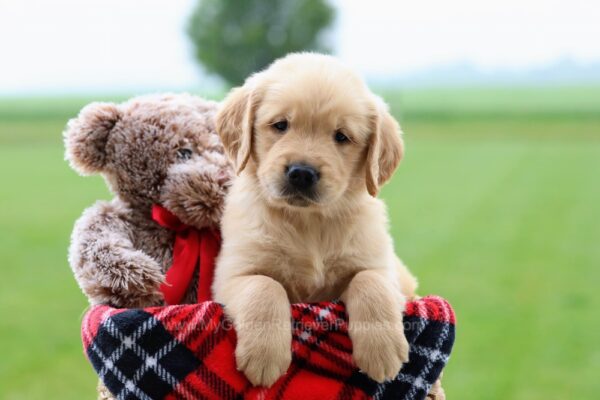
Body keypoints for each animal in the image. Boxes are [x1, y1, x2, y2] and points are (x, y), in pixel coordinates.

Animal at [214, 53, 418, 388]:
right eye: (280, 125)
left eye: (341, 136)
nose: (301, 173)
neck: (309, 223)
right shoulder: (233, 273)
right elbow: (265, 286)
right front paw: (264, 355)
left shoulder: (382, 267)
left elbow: (370, 280)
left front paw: (382, 350)